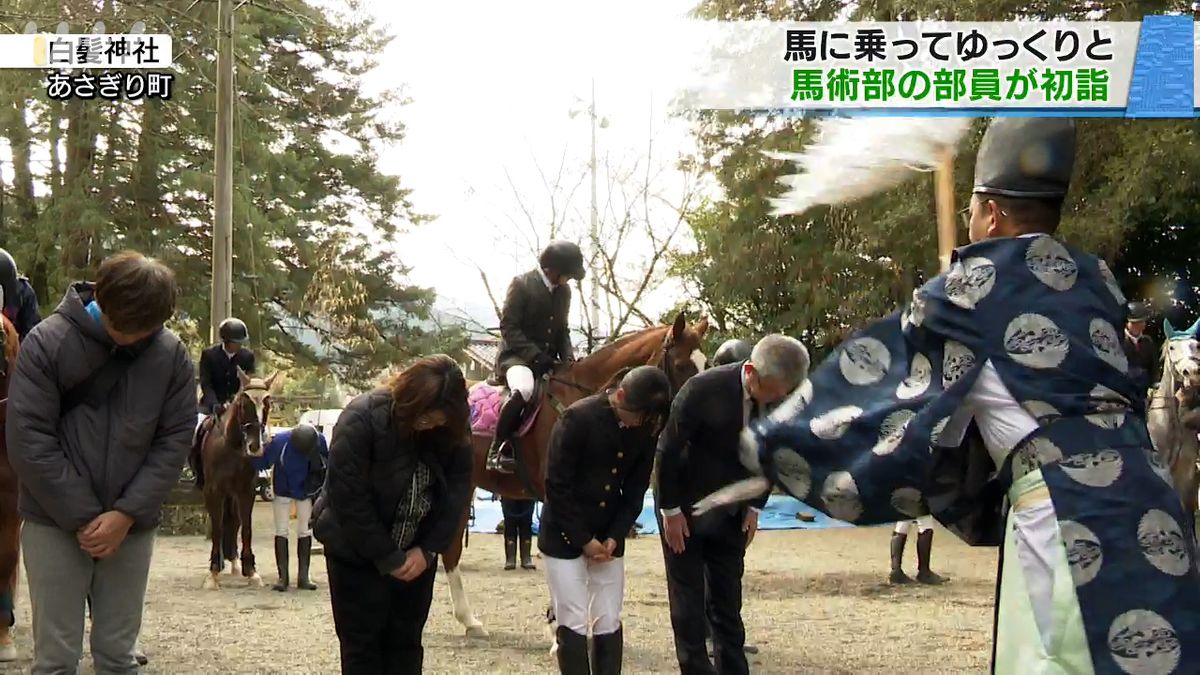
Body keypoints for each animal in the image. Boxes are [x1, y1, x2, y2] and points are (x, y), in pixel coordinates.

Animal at [201, 365, 278, 586]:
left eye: (268, 404)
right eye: (244, 404)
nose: (255, 447)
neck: (232, 446)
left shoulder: (246, 490)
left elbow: (246, 527)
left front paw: (251, 571)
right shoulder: (214, 491)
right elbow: (217, 527)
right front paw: (213, 572)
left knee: (234, 521)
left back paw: (235, 563)